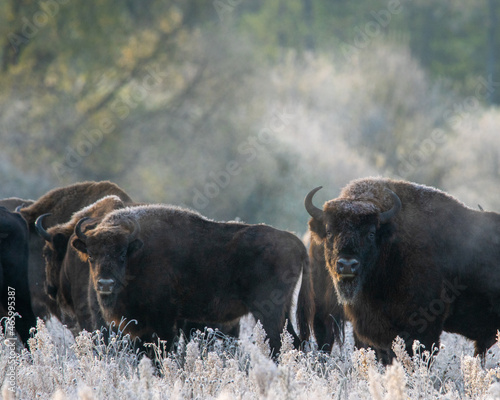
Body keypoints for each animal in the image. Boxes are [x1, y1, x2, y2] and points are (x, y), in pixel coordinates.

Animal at [71, 205, 312, 354]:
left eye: (122, 254)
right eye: (91, 255)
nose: (105, 284)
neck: (137, 253)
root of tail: (296, 242)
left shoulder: (164, 318)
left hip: (267, 311)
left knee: (278, 343)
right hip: (283, 310)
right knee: (295, 342)